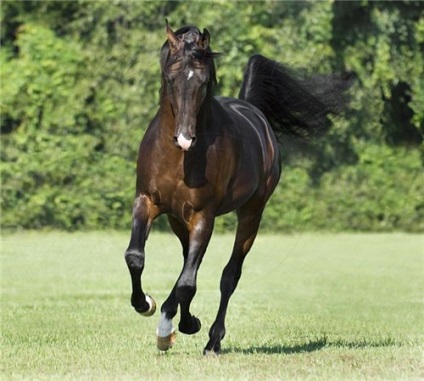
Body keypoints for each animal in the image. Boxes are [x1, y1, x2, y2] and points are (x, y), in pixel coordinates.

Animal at [124, 20, 352, 354]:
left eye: (204, 80)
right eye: (170, 76)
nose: (185, 138)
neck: (179, 158)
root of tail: (254, 111)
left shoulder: (203, 216)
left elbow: (188, 282)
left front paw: (179, 326)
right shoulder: (148, 202)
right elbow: (136, 257)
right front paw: (147, 305)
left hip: (251, 213)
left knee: (228, 275)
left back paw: (212, 340)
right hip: (178, 219)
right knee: (188, 263)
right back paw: (174, 318)